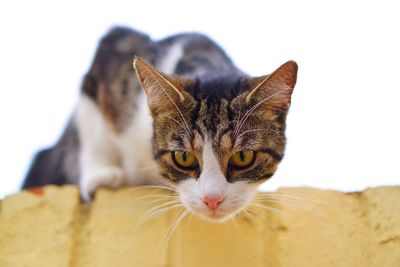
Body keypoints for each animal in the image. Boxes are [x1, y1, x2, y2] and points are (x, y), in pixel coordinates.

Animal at [22, 26, 296, 222]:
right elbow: (95, 131)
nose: (212, 200)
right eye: (183, 157)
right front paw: (101, 175)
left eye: (243, 156)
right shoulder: (107, 58)